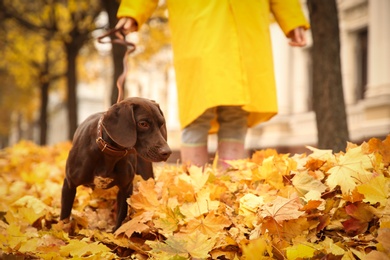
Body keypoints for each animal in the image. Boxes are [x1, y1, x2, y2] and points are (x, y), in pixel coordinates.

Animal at [60, 97, 171, 230]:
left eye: (161, 124)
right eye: (143, 123)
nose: (167, 152)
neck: (110, 154)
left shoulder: (126, 188)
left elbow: (120, 219)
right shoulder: (69, 185)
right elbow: (64, 217)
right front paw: (61, 230)